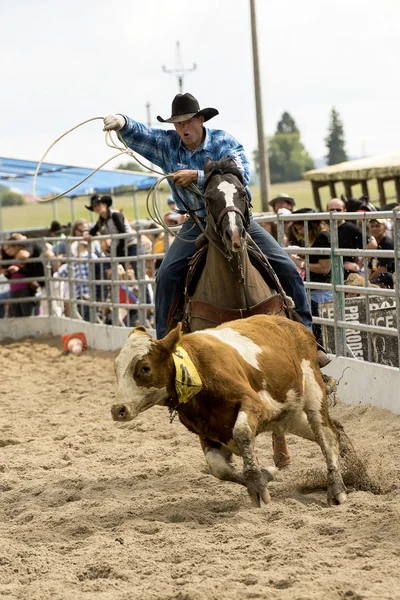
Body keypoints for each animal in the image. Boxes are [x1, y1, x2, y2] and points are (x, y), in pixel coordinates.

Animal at [111, 314, 346, 506]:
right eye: (116, 368)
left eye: (145, 368)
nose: (117, 409)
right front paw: (266, 474)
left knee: (326, 435)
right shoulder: (207, 430)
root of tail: (296, 326)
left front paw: (257, 485)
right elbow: (218, 468)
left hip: (313, 390)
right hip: (290, 413)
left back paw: (337, 491)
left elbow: (241, 432)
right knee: (332, 431)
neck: (199, 371)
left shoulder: (255, 404)